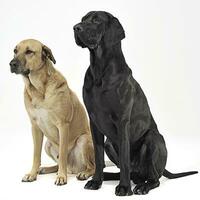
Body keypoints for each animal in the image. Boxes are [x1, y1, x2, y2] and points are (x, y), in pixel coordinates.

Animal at [9, 39, 94, 186]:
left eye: (29, 51)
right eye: (15, 51)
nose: (11, 64)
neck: (38, 89)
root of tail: (73, 168)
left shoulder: (63, 125)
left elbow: (63, 154)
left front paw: (61, 177)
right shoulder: (35, 127)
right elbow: (36, 154)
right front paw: (32, 174)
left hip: (84, 140)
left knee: (92, 167)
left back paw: (83, 173)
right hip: (47, 145)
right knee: (59, 162)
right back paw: (46, 169)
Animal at [73, 10, 197, 195]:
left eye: (96, 20)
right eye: (83, 19)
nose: (76, 27)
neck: (100, 70)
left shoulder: (122, 120)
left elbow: (125, 158)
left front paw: (124, 188)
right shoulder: (94, 122)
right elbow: (98, 157)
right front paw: (96, 181)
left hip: (153, 139)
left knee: (154, 178)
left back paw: (142, 186)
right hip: (109, 144)